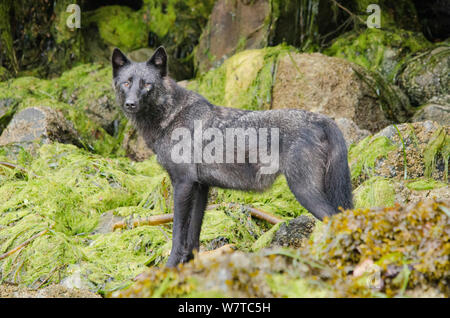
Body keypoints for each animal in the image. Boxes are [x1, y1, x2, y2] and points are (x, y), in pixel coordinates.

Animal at [110, 46, 354, 268]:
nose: (130, 104)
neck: (171, 116)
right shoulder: (201, 187)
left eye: (147, 84)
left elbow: (178, 235)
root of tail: (322, 119)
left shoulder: (183, 184)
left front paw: (169, 268)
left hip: (304, 191)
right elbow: (193, 237)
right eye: (126, 83)